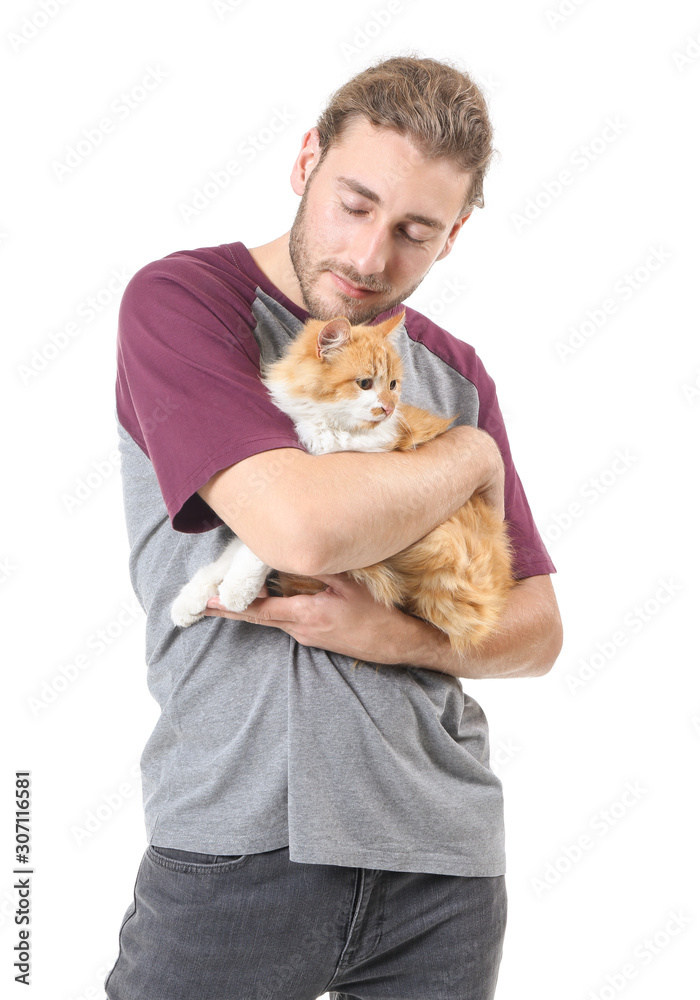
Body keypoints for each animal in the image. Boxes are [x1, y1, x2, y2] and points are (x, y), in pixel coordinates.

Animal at [170, 312, 516, 656]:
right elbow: (234, 551)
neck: (330, 427)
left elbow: (257, 553)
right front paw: (192, 598)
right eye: (365, 383)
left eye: (393, 384)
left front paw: (236, 590)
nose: (389, 408)